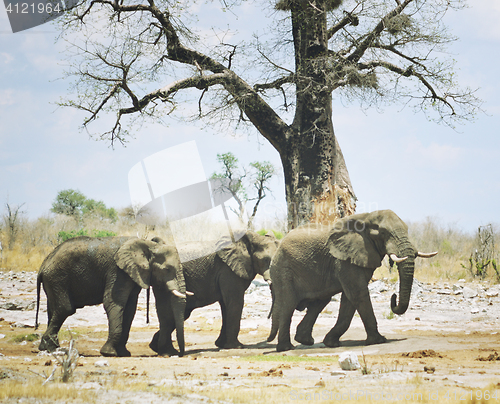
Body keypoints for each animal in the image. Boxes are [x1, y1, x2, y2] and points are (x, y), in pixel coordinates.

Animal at [35, 237, 187, 356]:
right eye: (167, 269)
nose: (179, 354)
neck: (148, 244)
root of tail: (42, 266)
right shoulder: (118, 271)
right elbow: (114, 303)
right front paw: (109, 353)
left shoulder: (133, 274)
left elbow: (130, 309)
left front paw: (123, 353)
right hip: (58, 277)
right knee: (65, 309)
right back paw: (50, 349)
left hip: (54, 281)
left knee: (53, 310)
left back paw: (50, 348)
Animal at [148, 232, 282, 356]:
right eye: (266, 260)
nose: (267, 339)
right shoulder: (228, 270)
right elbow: (235, 302)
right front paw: (236, 346)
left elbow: (225, 305)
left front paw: (221, 344)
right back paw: (166, 351)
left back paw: (156, 348)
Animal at [268, 210, 436, 352]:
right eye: (383, 233)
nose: (393, 297)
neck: (366, 217)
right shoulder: (344, 260)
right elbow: (358, 293)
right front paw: (379, 340)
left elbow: (349, 299)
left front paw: (331, 343)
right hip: (283, 270)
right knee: (288, 304)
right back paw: (286, 348)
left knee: (320, 301)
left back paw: (305, 340)